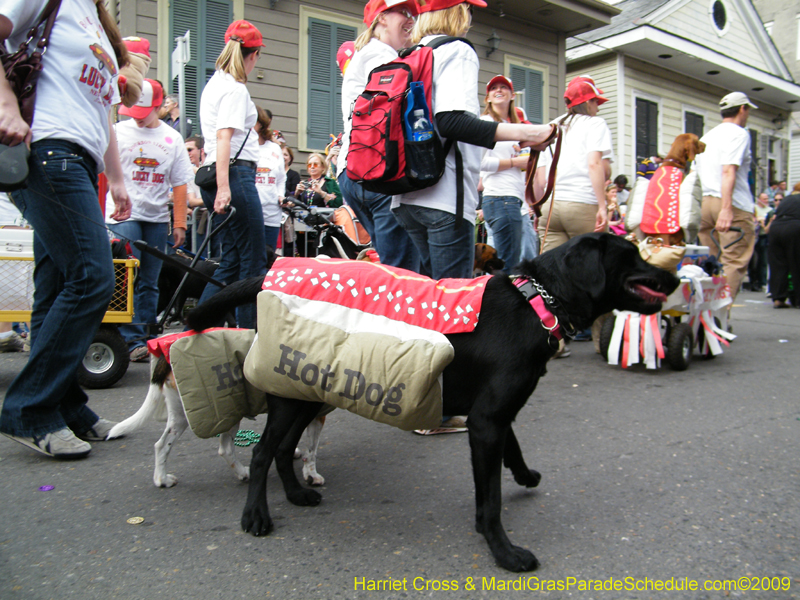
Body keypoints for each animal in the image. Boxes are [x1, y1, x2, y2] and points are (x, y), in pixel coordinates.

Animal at [109, 356, 328, 488]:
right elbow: (312, 449)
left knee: (161, 445)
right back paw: (243, 472)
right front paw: (311, 473)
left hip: (180, 415)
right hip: (229, 411)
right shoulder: (316, 414)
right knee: (225, 449)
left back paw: (161, 479)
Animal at [186, 233, 676, 572]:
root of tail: (271, 273)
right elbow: (491, 498)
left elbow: (510, 451)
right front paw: (504, 551)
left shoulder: (493, 415)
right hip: (292, 394)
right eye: (633, 255)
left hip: (309, 389)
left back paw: (296, 494)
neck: (537, 300)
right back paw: (255, 516)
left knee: (284, 449)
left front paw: (523, 475)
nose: (674, 275)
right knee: (264, 453)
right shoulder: (486, 421)